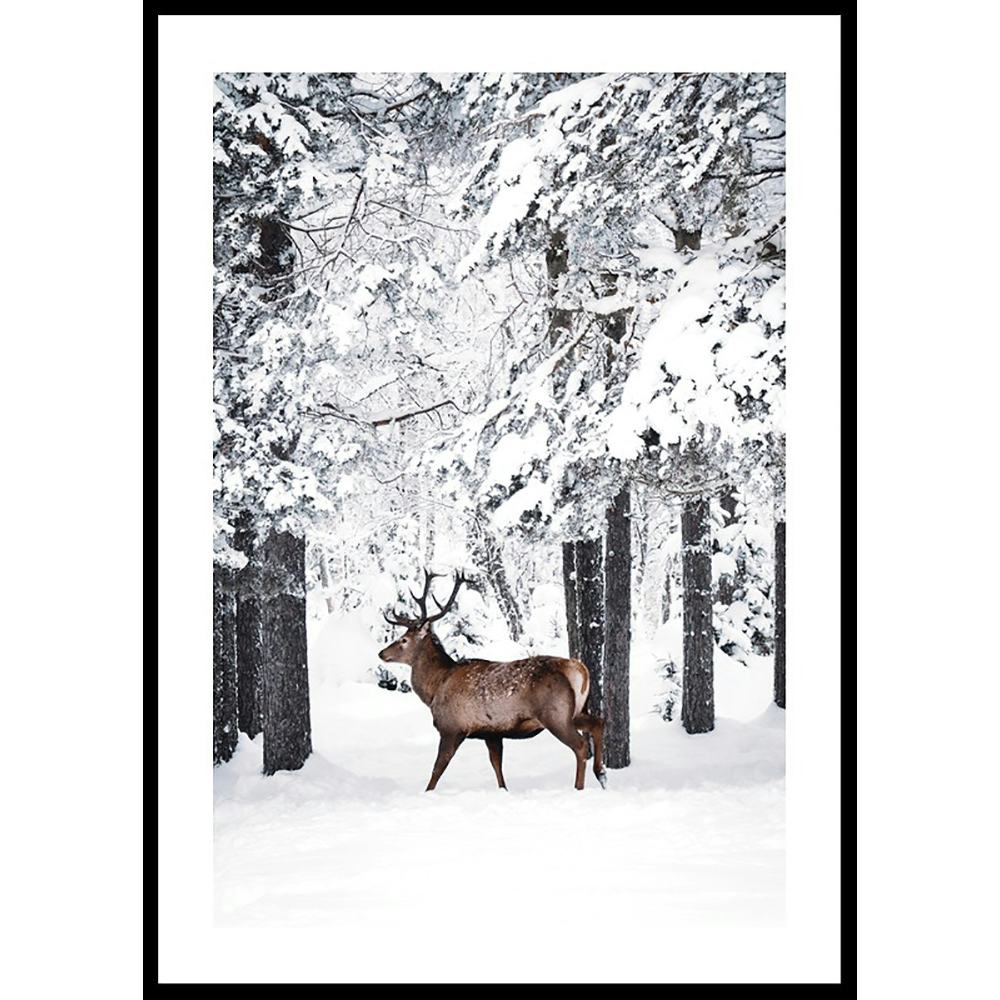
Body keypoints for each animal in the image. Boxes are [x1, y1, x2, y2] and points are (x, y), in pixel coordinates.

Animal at [378, 569, 606, 792]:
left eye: (403, 640)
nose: (382, 653)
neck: (435, 688)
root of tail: (578, 669)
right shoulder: (492, 733)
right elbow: (497, 766)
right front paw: (503, 790)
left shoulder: (451, 727)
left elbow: (437, 769)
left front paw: (427, 793)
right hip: (576, 710)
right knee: (598, 722)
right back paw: (601, 774)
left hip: (555, 714)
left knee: (580, 745)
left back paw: (579, 787)